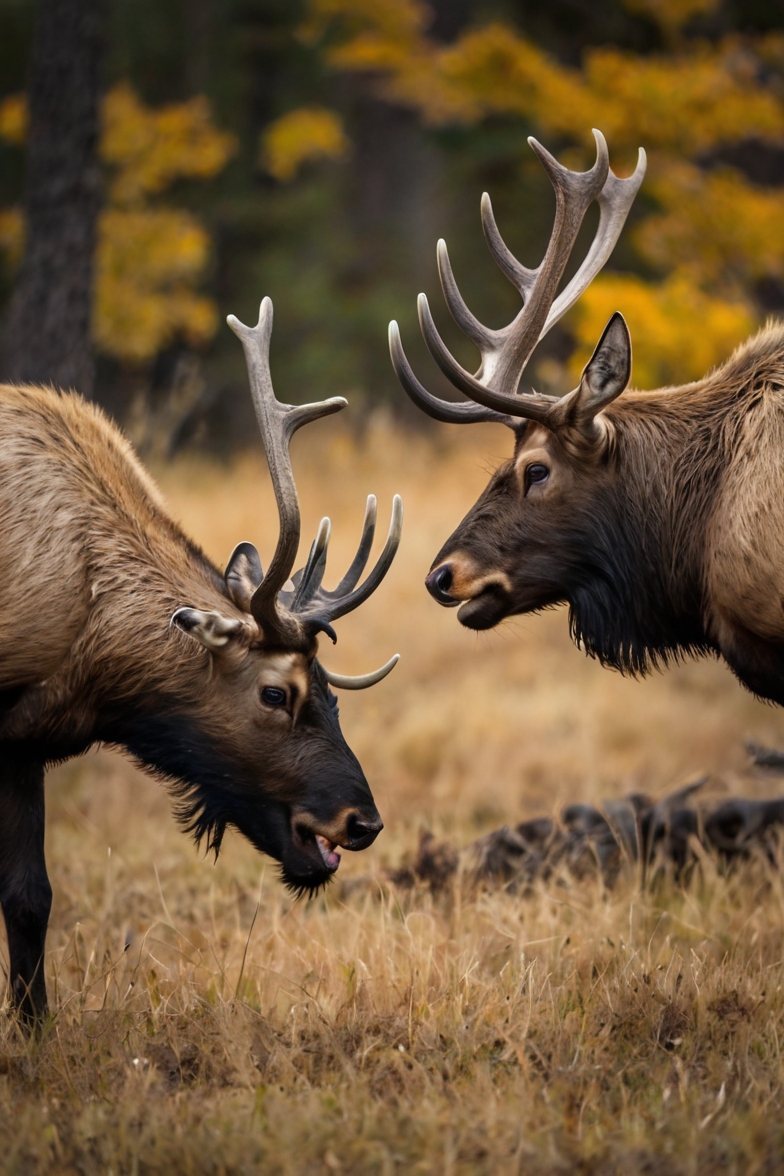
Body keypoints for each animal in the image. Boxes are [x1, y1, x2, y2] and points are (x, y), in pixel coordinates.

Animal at [0, 296, 401, 1020]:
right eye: (275, 692)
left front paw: (34, 1027)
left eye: (333, 693)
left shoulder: (19, 742)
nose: (362, 820)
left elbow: (29, 897)